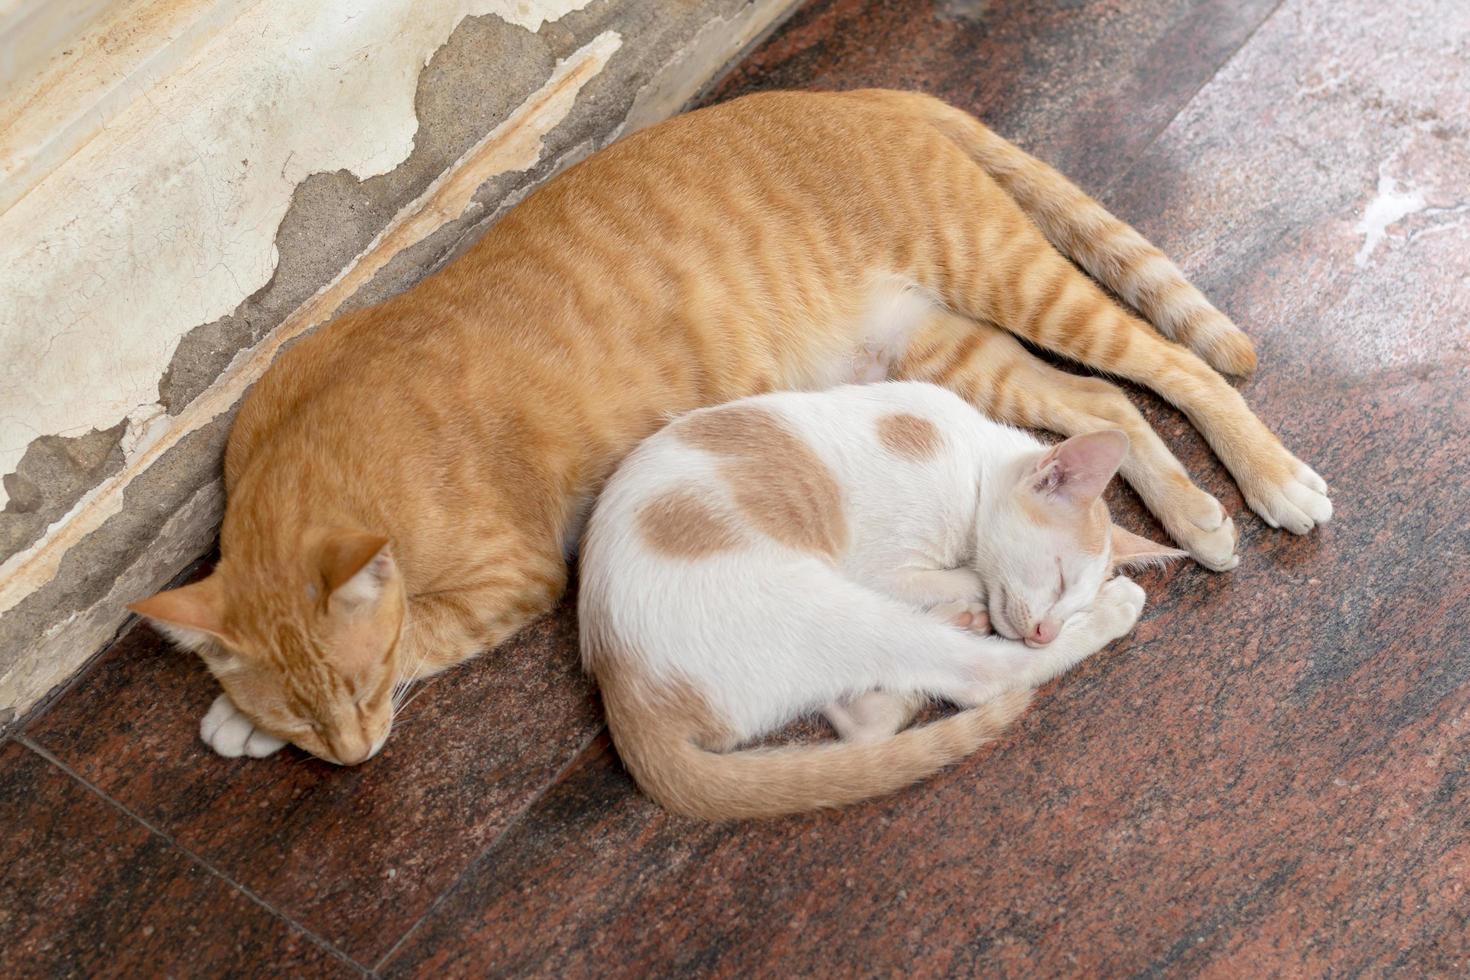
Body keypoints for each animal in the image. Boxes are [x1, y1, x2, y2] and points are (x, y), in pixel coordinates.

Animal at [135, 89, 1334, 764]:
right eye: (317, 725)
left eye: (357, 697)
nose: (349, 757)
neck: (314, 447)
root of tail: (854, 86)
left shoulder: (515, 577)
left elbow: (423, 627)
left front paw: (246, 718)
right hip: (943, 352)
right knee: (1103, 409)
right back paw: (1190, 516)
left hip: (1009, 276)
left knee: (1175, 365)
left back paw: (1268, 481)